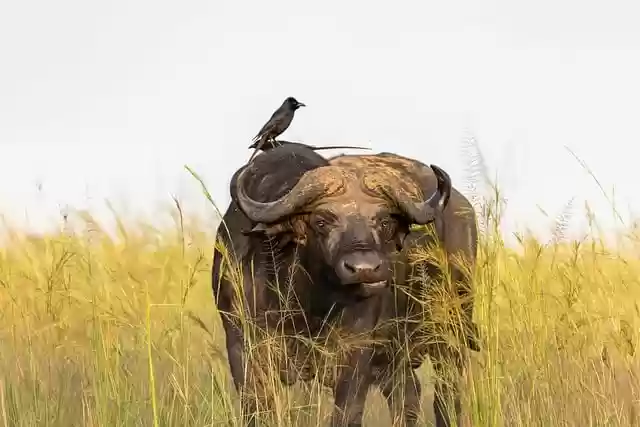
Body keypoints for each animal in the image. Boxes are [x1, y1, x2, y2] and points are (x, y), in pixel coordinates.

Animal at [212, 143, 479, 427]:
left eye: (384, 222)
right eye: (321, 221)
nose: (364, 269)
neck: (304, 303)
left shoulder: (355, 354)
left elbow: (347, 412)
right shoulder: (242, 347)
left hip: (450, 332)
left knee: (447, 393)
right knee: (408, 395)